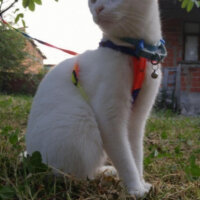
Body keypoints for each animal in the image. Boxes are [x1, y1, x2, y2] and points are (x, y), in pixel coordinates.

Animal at [26, 0, 164, 197]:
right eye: (91, 1)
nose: (98, 9)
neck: (135, 53)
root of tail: (29, 156)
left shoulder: (137, 119)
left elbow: (136, 154)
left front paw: (142, 183)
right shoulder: (109, 119)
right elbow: (125, 158)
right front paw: (135, 188)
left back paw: (107, 171)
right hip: (80, 123)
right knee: (73, 174)